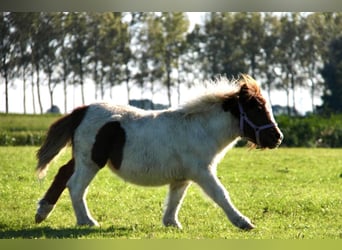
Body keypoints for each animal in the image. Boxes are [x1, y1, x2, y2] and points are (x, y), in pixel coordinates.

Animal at [34, 74, 284, 230]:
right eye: (256, 108)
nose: (277, 138)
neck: (200, 129)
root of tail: (82, 110)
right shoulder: (203, 172)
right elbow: (221, 195)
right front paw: (243, 222)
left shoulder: (183, 177)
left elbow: (175, 199)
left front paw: (172, 223)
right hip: (91, 162)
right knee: (75, 186)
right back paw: (87, 221)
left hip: (83, 159)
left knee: (62, 174)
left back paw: (42, 212)